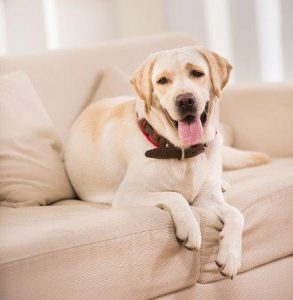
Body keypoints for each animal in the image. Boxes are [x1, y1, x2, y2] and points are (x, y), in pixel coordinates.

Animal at [65, 47, 270, 278]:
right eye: (162, 80)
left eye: (197, 73)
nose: (185, 100)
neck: (183, 152)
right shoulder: (128, 195)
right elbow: (175, 196)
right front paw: (189, 227)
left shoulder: (207, 199)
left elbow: (236, 214)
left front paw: (231, 256)